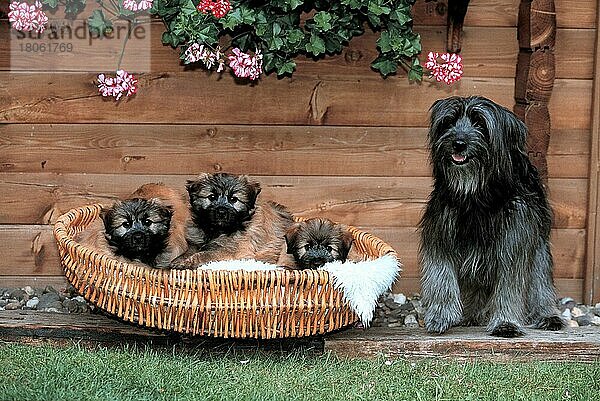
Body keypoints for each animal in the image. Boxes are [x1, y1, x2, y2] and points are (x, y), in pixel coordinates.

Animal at [420, 95, 564, 336]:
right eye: (449, 122)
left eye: (480, 123)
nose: (458, 143)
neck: (475, 195)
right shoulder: (441, 231)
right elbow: (442, 275)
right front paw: (441, 315)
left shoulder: (513, 241)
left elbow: (509, 286)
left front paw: (505, 322)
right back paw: (472, 315)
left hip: (539, 246)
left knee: (540, 280)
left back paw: (548, 315)